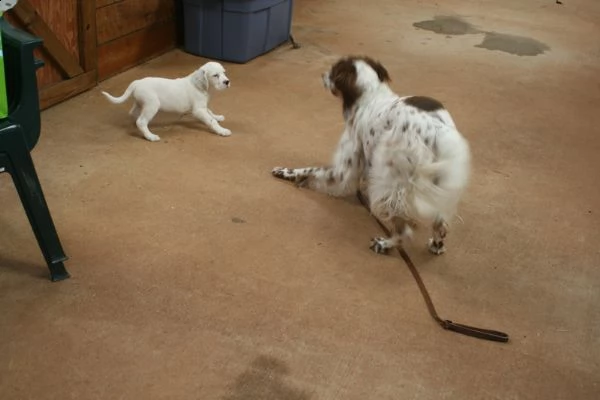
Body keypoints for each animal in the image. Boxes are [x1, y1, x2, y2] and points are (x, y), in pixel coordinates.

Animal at [101, 61, 232, 142]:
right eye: (215, 75)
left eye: (224, 73)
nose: (227, 82)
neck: (201, 86)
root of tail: (137, 82)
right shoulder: (198, 110)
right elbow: (211, 121)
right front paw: (222, 130)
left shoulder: (203, 107)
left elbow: (210, 112)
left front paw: (218, 117)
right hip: (152, 105)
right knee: (141, 121)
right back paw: (150, 136)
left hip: (140, 103)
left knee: (134, 114)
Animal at [270, 55, 472, 256]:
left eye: (333, 71)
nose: (322, 75)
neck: (371, 95)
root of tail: (438, 129)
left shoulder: (344, 171)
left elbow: (310, 170)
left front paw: (286, 172)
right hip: (438, 180)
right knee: (441, 223)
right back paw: (436, 245)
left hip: (388, 181)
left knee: (404, 231)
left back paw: (385, 244)